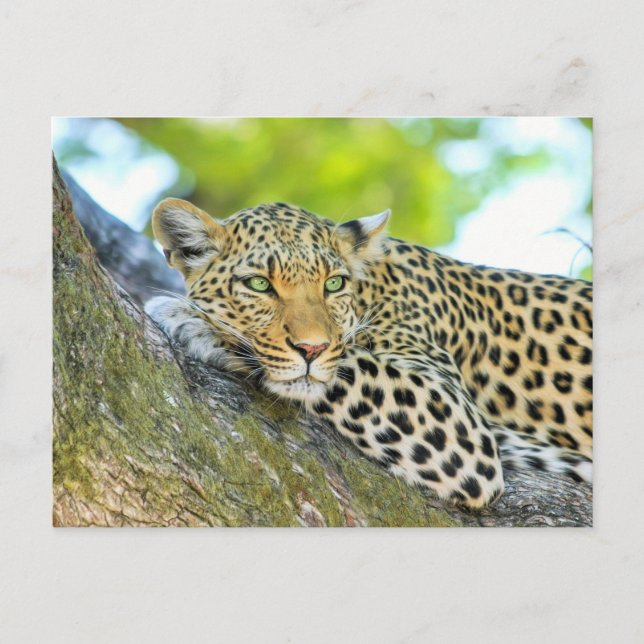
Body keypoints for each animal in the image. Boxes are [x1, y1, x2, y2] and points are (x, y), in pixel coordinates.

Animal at [145, 198, 593, 509]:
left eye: (333, 284)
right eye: (258, 284)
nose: (311, 348)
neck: (373, 290)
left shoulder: (458, 424)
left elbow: (346, 364)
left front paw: (194, 321)